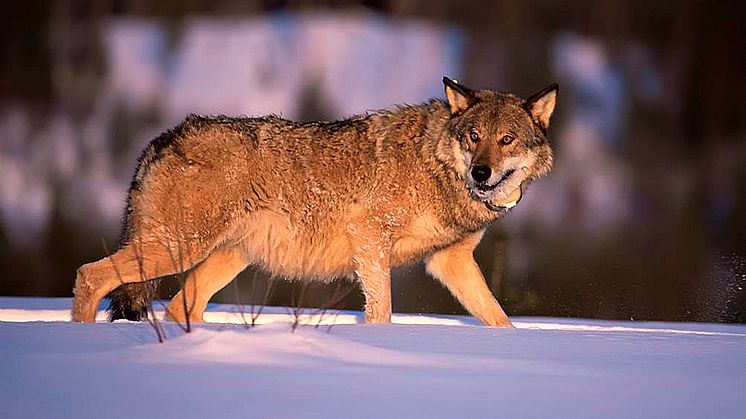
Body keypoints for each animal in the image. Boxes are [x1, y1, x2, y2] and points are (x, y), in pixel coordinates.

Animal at [70, 77, 556, 326]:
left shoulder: (450, 261)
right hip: (177, 250)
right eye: (473, 137)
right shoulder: (370, 241)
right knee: (90, 275)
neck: (436, 166)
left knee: (176, 307)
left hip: (226, 257)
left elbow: (499, 318)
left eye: (506, 139)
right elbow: (381, 313)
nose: (481, 173)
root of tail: (164, 138)